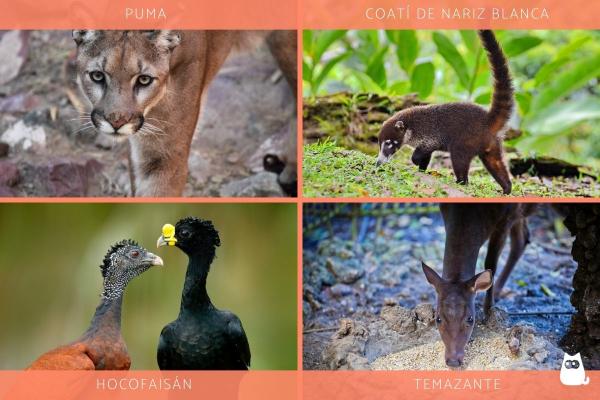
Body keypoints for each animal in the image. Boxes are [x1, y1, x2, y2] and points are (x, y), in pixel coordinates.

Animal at [420, 205, 536, 368]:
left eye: (470, 319)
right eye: (438, 319)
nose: (453, 361)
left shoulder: (506, 219)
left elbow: (490, 263)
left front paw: (489, 310)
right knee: (522, 239)